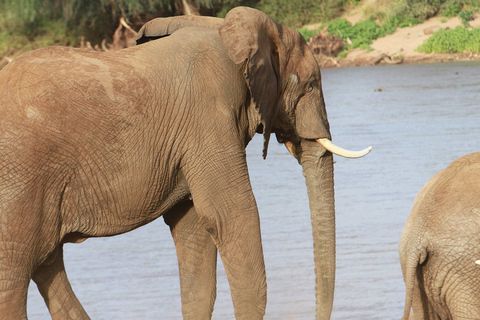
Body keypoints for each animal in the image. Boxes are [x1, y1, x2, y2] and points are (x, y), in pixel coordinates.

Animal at [0, 5, 372, 320]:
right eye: (309, 83)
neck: (224, 29)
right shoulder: (207, 119)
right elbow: (232, 214)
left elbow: (193, 227)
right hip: (21, 179)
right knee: (15, 274)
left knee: (46, 264)